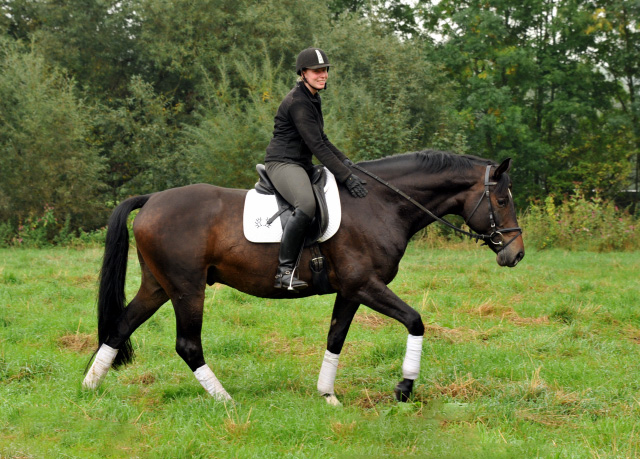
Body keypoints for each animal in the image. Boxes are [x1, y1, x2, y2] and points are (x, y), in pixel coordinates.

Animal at [84, 151, 524, 406]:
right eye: (501, 200)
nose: (515, 253)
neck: (380, 204)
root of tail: (152, 199)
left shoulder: (351, 291)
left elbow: (335, 338)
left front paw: (327, 395)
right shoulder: (366, 285)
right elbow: (415, 321)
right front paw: (404, 388)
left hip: (159, 286)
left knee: (120, 327)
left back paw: (88, 389)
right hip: (186, 288)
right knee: (188, 345)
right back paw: (225, 400)